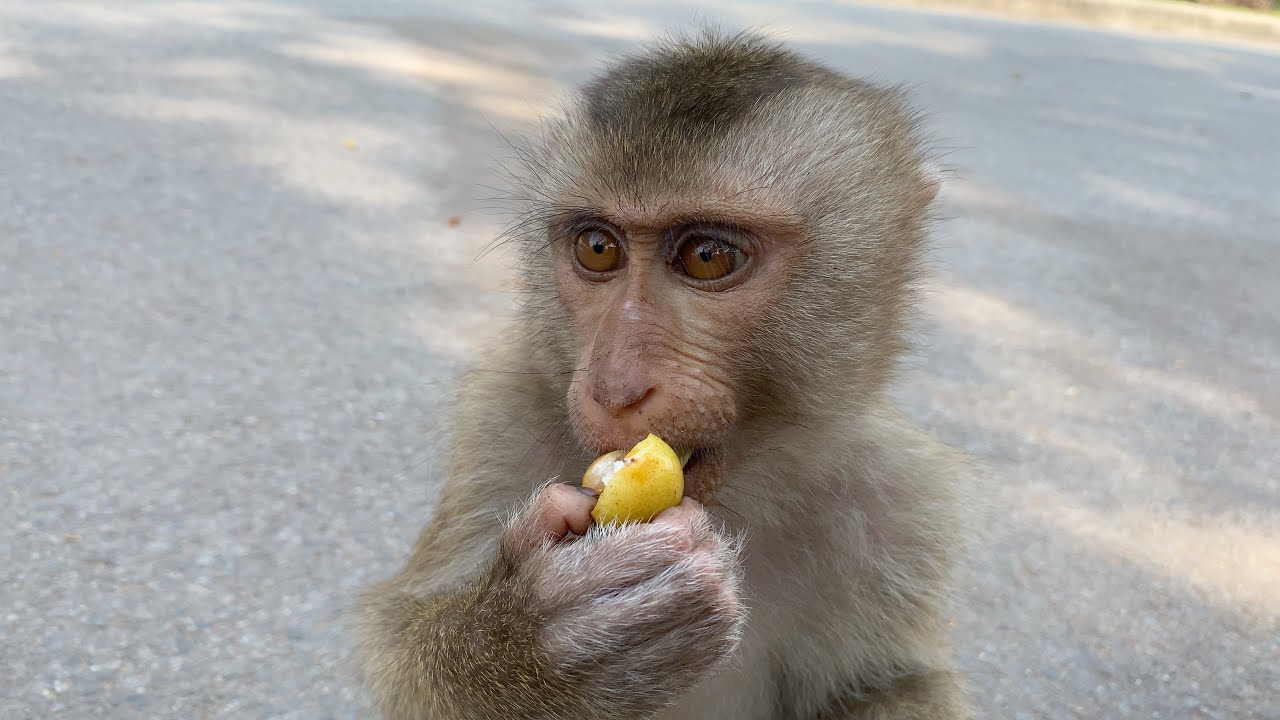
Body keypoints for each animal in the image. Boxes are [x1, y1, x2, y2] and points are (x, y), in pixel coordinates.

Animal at [357, 28, 974, 720]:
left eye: (707, 257)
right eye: (597, 247)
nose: (615, 388)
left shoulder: (900, 500)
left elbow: (889, 684)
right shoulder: (498, 418)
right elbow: (395, 640)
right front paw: (534, 647)